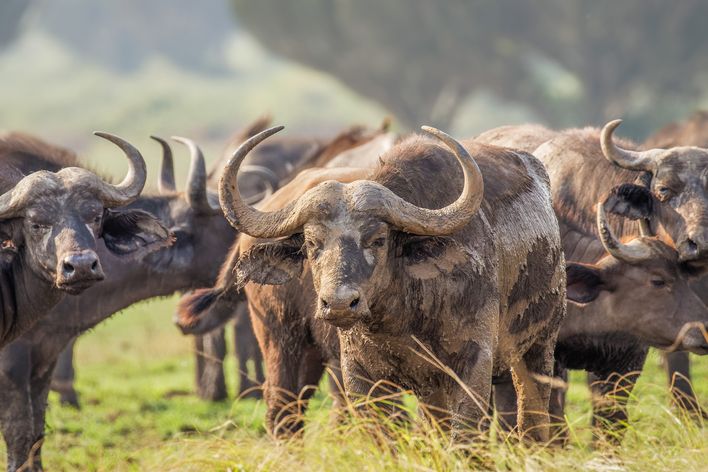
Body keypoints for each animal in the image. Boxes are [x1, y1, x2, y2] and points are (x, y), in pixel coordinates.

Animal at [213, 126, 568, 442]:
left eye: (378, 239)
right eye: (312, 243)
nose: (339, 303)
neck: (401, 319)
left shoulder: (472, 366)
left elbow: (464, 437)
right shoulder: (359, 376)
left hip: (539, 347)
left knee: (531, 421)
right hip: (283, 341)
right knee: (284, 412)